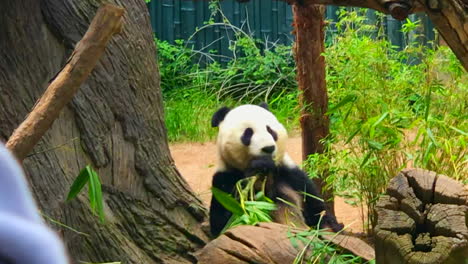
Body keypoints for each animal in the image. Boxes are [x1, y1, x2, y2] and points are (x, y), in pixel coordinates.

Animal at [209, 103, 344, 237]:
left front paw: (333, 226)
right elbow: (225, 221)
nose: (268, 148)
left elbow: (313, 204)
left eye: (270, 130)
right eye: (248, 133)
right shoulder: (225, 179)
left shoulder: (289, 173)